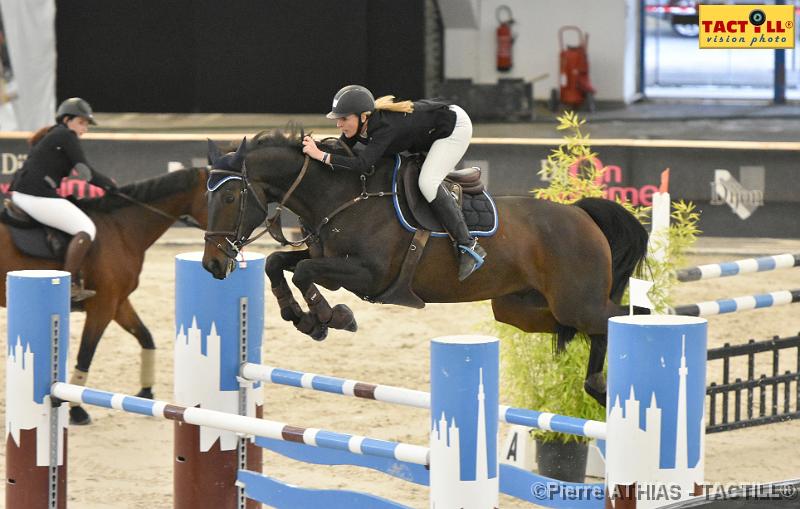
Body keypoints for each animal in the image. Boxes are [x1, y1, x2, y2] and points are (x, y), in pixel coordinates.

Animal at [0, 169, 209, 422]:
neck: (122, 228)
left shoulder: (118, 303)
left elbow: (145, 337)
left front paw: (146, 392)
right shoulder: (103, 306)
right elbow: (85, 355)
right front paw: (77, 411)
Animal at [202, 132, 648, 404]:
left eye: (229, 198)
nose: (212, 264)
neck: (343, 195)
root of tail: (581, 214)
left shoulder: (367, 275)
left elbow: (304, 272)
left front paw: (331, 318)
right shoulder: (325, 255)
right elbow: (278, 263)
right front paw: (302, 317)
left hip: (578, 302)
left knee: (627, 315)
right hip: (521, 308)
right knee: (585, 330)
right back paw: (597, 386)